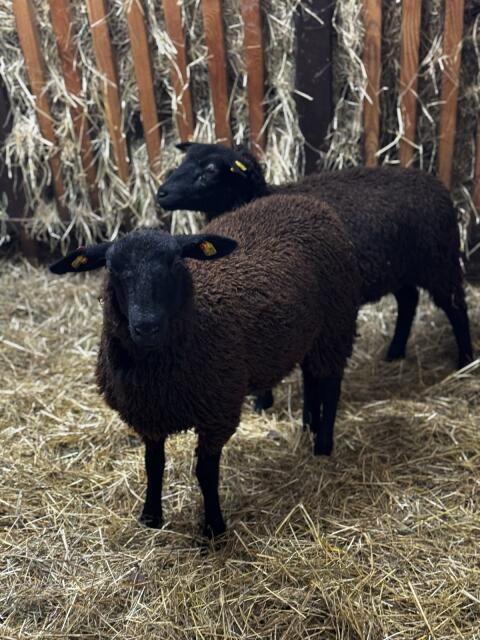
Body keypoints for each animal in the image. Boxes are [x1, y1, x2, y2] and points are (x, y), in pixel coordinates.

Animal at [50, 194, 360, 537]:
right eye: (112, 268)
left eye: (175, 262)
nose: (147, 326)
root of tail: (304, 200)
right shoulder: (148, 413)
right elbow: (153, 466)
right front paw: (151, 516)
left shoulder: (217, 412)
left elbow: (205, 473)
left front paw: (214, 527)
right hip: (310, 331)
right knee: (310, 375)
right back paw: (308, 425)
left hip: (336, 322)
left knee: (331, 383)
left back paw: (323, 444)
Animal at [157, 143, 473, 402]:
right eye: (183, 161)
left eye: (210, 170)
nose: (161, 193)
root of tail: (436, 184)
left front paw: (262, 402)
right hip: (399, 268)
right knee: (408, 300)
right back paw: (394, 353)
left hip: (438, 262)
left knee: (456, 308)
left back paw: (465, 361)